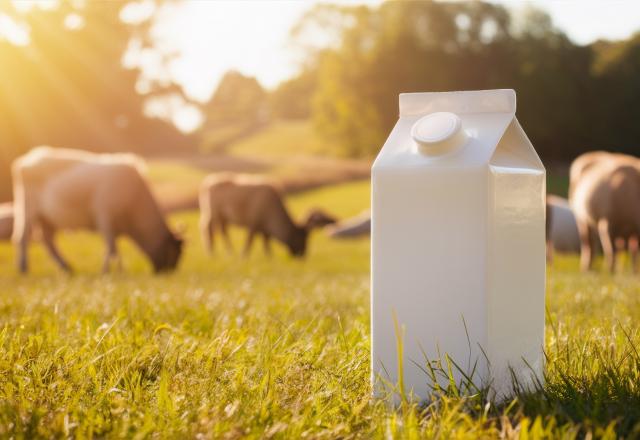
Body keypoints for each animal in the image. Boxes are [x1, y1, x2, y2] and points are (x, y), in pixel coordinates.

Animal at [11, 146, 182, 274]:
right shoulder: (104, 216)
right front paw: (109, 272)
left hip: (49, 217)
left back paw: (67, 268)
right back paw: (23, 269)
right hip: (28, 207)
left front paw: (116, 271)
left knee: (48, 241)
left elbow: (113, 248)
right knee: (22, 237)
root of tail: (24, 161)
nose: (167, 273)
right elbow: (111, 247)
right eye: (174, 252)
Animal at [200, 174, 338, 258]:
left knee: (218, 230)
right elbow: (250, 241)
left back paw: (219, 252)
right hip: (215, 213)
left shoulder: (264, 228)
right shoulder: (254, 222)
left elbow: (266, 242)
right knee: (214, 231)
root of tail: (207, 182)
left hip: (220, 216)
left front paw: (269, 257)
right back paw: (223, 252)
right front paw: (244, 256)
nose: (302, 256)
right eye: (302, 237)